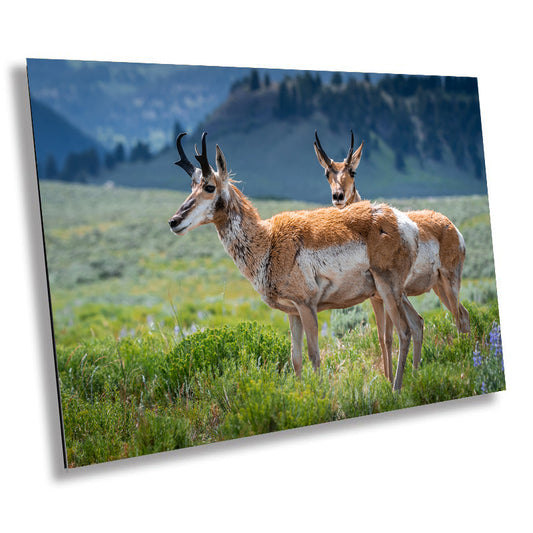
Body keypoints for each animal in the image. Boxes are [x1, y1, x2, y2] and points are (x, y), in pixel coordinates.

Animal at [168, 132, 422, 390]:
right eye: (192, 186)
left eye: (209, 187)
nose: (174, 221)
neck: (268, 240)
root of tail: (403, 221)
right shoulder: (292, 312)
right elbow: (296, 358)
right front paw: (301, 393)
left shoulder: (306, 305)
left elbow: (314, 355)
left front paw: (319, 393)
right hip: (393, 292)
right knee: (416, 324)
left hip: (387, 289)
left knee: (404, 331)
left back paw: (396, 389)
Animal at [314, 131, 468, 380]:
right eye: (327, 172)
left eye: (352, 171)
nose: (338, 196)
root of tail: (449, 224)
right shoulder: (376, 298)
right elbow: (383, 337)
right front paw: (387, 378)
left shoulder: (386, 296)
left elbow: (390, 335)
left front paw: (390, 380)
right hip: (439, 287)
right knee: (461, 314)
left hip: (450, 281)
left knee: (459, 317)